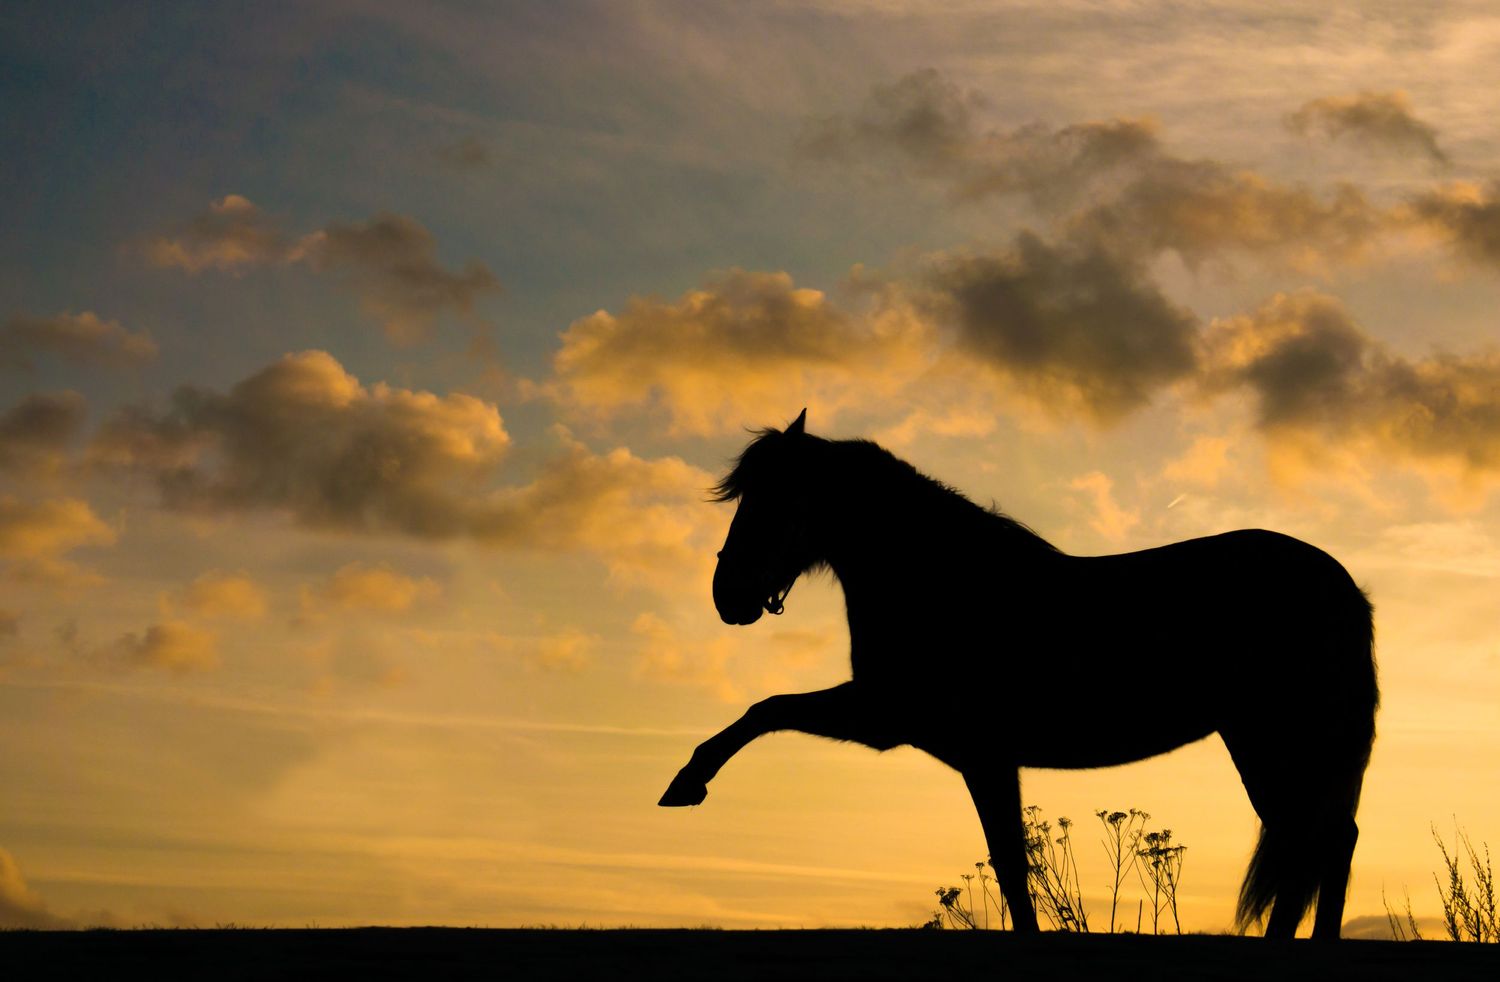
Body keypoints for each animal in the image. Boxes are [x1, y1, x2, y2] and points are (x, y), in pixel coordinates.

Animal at [659, 410, 1378, 939]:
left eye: (776, 501)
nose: (728, 596)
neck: (945, 580)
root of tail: (1344, 588)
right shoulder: (935, 737)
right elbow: (1009, 862)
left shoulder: (910, 726)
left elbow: (768, 708)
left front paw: (686, 783)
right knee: (1321, 838)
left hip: (1277, 741)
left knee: (1317, 837)